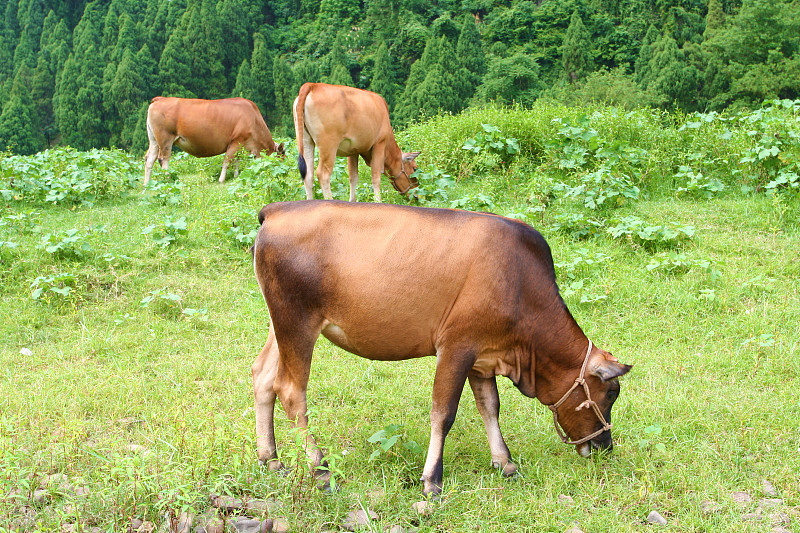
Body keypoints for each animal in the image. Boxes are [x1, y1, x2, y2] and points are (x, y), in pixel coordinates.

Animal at [144, 96, 284, 186]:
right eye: (281, 158)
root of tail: (161, 99)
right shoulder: (235, 141)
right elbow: (227, 161)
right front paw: (221, 180)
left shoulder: (241, 145)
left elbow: (237, 161)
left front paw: (236, 176)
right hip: (165, 138)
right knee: (163, 159)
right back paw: (168, 179)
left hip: (154, 139)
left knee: (149, 158)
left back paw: (147, 184)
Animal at [250, 200, 632, 494]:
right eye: (611, 392)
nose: (605, 446)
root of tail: (278, 209)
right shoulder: (456, 346)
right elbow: (443, 413)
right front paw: (432, 480)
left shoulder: (483, 354)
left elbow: (490, 406)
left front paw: (504, 462)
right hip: (297, 321)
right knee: (291, 391)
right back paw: (320, 469)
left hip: (278, 322)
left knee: (262, 376)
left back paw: (270, 458)